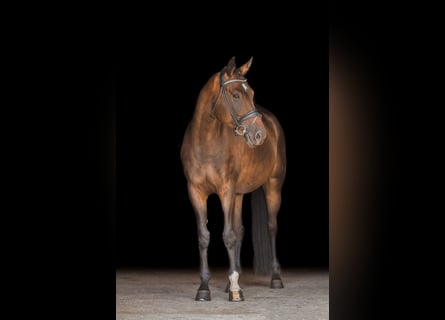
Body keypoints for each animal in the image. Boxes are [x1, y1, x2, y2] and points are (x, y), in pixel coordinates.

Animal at [181, 56, 288, 302]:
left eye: (252, 93)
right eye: (237, 95)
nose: (259, 135)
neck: (206, 142)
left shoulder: (226, 191)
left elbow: (228, 235)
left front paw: (236, 291)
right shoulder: (196, 192)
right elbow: (205, 236)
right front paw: (204, 288)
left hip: (273, 186)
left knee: (272, 227)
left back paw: (275, 278)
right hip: (239, 194)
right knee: (240, 231)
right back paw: (230, 282)